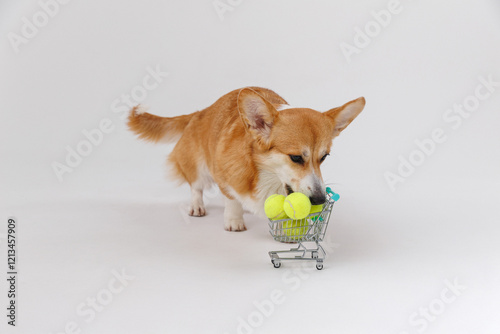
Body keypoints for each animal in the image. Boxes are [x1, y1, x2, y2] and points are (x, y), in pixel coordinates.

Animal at [127, 87, 366, 231]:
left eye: (324, 157)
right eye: (296, 157)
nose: (319, 200)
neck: (266, 174)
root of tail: (200, 112)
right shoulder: (225, 176)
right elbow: (232, 199)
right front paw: (234, 221)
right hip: (198, 165)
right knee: (196, 186)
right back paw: (197, 207)